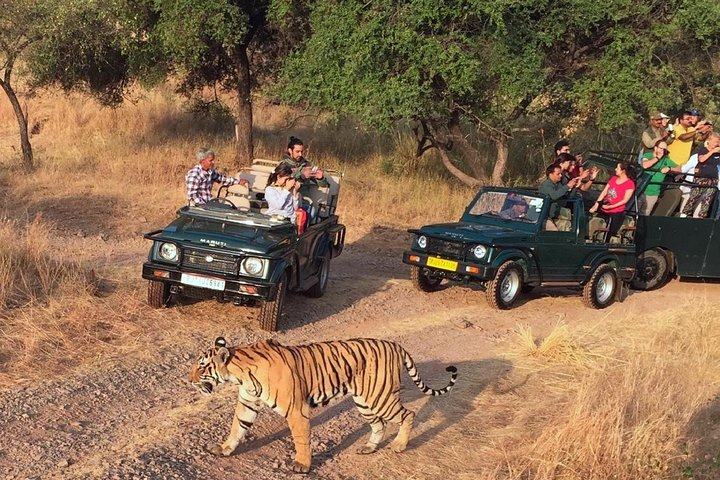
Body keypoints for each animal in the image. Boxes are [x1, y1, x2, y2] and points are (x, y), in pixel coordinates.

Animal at [189, 336, 458, 473]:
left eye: (201, 367)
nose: (189, 380)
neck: (240, 374)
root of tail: (395, 345)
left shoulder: (296, 411)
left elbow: (301, 439)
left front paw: (302, 465)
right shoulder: (247, 403)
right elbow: (237, 428)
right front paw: (224, 449)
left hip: (380, 398)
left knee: (408, 414)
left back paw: (400, 446)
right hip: (365, 402)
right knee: (379, 424)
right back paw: (369, 447)